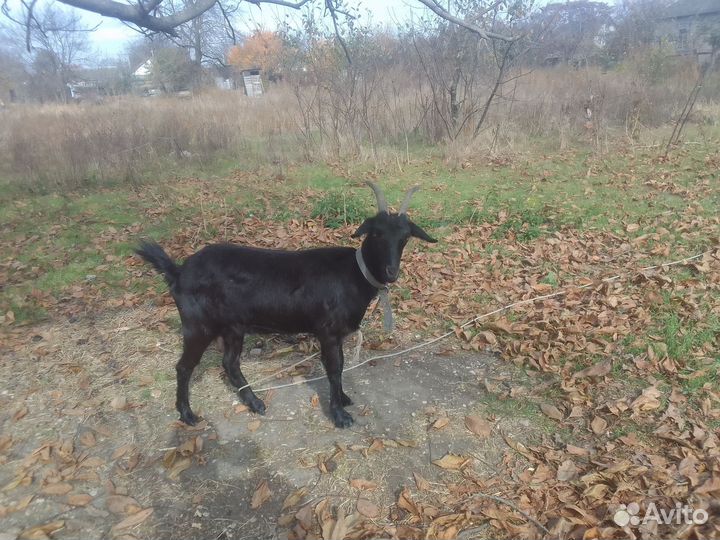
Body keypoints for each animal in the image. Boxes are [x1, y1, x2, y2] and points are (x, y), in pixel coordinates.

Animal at [135, 182, 436, 428]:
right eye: (376, 234)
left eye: (405, 237)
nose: (391, 272)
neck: (354, 273)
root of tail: (178, 272)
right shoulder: (328, 331)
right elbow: (334, 368)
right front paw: (340, 415)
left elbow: (339, 366)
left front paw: (344, 399)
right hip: (198, 324)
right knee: (184, 367)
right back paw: (187, 415)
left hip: (233, 326)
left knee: (229, 363)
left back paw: (255, 403)